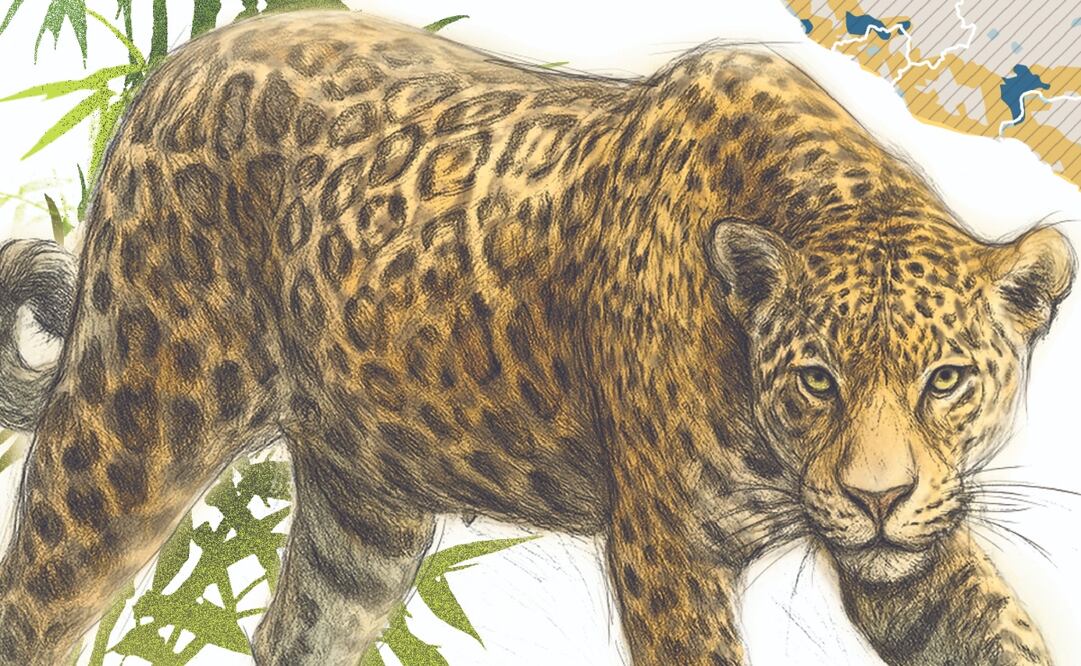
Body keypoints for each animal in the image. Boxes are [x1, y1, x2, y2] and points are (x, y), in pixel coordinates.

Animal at [0, 9, 1073, 666]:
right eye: (816, 380)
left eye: (945, 380)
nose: (876, 498)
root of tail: (175, 69)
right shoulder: (665, 552)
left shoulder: (923, 553)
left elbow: (1000, 635)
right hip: (129, 423)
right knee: (36, 601)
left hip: (366, 505)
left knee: (296, 627)